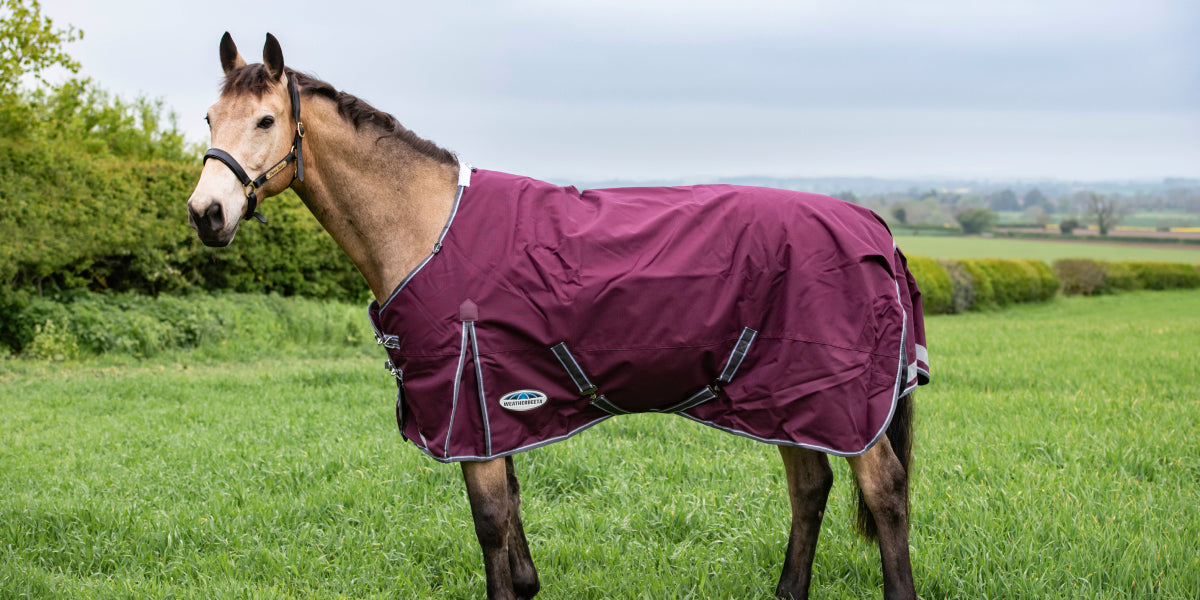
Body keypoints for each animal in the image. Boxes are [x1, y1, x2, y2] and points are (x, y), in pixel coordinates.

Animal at [186, 33, 927, 600]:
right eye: (209, 120)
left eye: (266, 122)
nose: (206, 214)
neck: (428, 228)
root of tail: (873, 227)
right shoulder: (495, 410)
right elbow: (512, 517)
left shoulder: (471, 407)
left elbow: (490, 520)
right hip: (788, 396)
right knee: (810, 485)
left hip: (839, 397)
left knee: (884, 490)